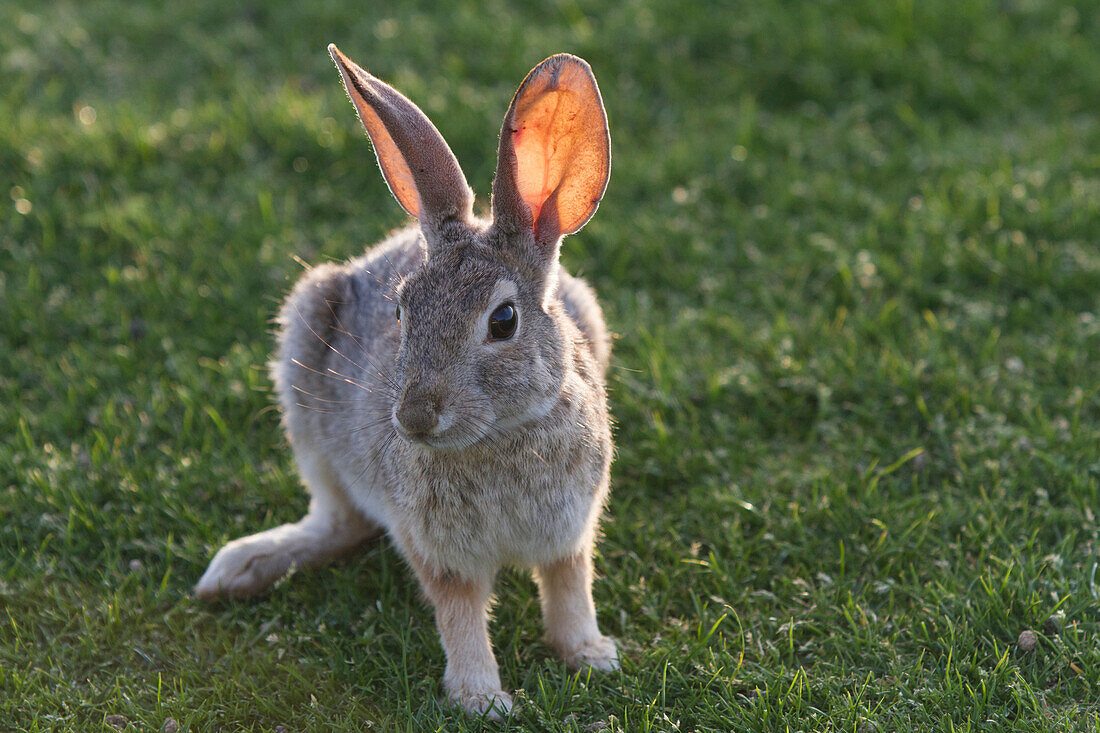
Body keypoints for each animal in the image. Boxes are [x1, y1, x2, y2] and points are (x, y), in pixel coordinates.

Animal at [196, 42, 620, 717]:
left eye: (504, 321)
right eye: (400, 311)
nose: (415, 418)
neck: (499, 436)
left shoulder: (570, 529)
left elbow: (569, 587)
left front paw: (589, 656)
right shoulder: (436, 548)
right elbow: (459, 613)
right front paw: (482, 699)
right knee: (339, 520)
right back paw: (241, 569)